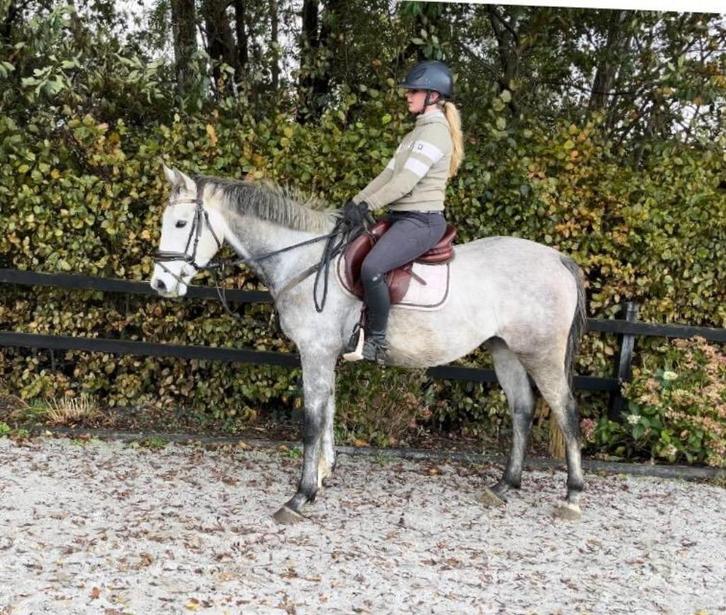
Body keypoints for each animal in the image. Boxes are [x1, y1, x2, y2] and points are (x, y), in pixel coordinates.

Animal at [150, 165, 588, 523]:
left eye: (181, 222)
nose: (159, 283)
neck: (307, 260)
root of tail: (558, 259)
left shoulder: (315, 353)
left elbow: (311, 421)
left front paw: (300, 496)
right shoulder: (325, 355)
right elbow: (328, 412)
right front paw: (322, 476)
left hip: (542, 354)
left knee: (566, 412)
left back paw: (572, 496)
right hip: (505, 350)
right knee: (522, 409)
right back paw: (504, 486)